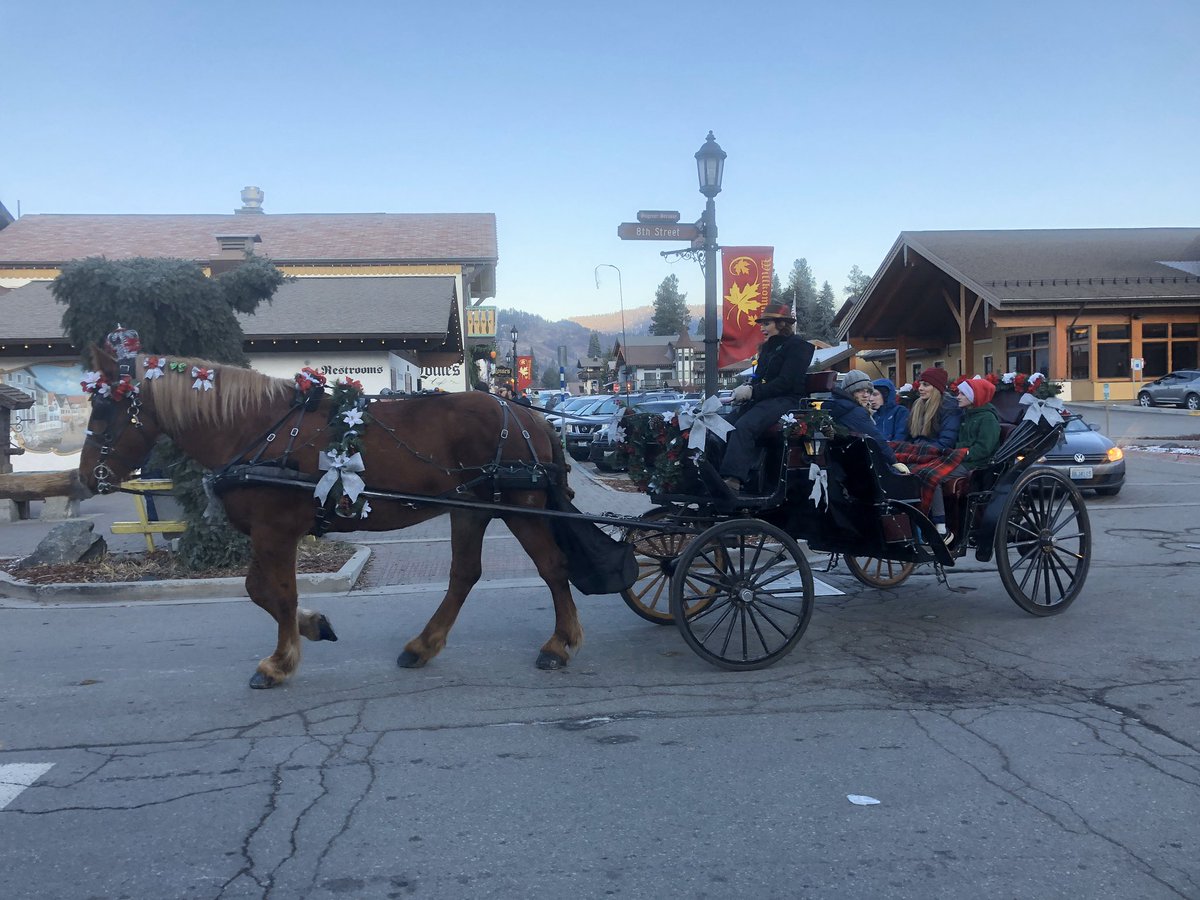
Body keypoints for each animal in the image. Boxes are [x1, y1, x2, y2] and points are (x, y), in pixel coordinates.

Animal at [76, 348, 585, 686]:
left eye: (103, 406)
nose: (85, 476)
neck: (254, 430)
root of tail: (527, 416)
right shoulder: (265, 533)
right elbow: (257, 590)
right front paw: (314, 626)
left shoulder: (276, 532)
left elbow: (280, 595)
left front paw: (279, 662)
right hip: (471, 512)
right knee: (464, 574)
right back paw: (422, 646)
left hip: (520, 507)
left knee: (553, 566)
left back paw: (559, 644)